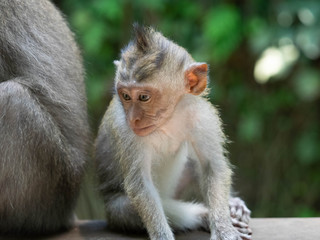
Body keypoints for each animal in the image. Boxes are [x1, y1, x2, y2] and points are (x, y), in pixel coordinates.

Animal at [96, 24, 251, 240]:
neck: (166, 120)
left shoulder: (202, 117)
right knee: (126, 208)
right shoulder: (124, 128)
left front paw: (223, 228)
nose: (133, 119)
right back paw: (202, 215)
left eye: (143, 97)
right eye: (125, 96)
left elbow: (212, 166)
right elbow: (141, 185)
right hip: (115, 212)